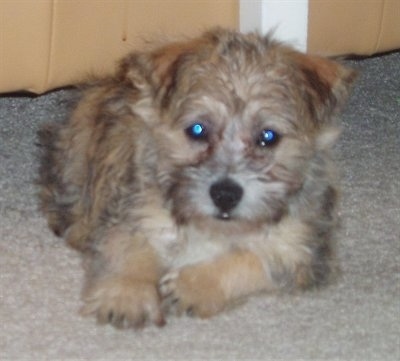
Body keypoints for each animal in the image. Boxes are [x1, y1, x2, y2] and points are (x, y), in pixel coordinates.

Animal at [38, 26, 356, 328]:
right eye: (197, 130)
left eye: (268, 137)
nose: (225, 195)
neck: (211, 229)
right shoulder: (135, 214)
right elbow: (130, 249)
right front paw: (127, 293)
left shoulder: (303, 250)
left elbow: (252, 259)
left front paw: (193, 287)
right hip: (76, 153)